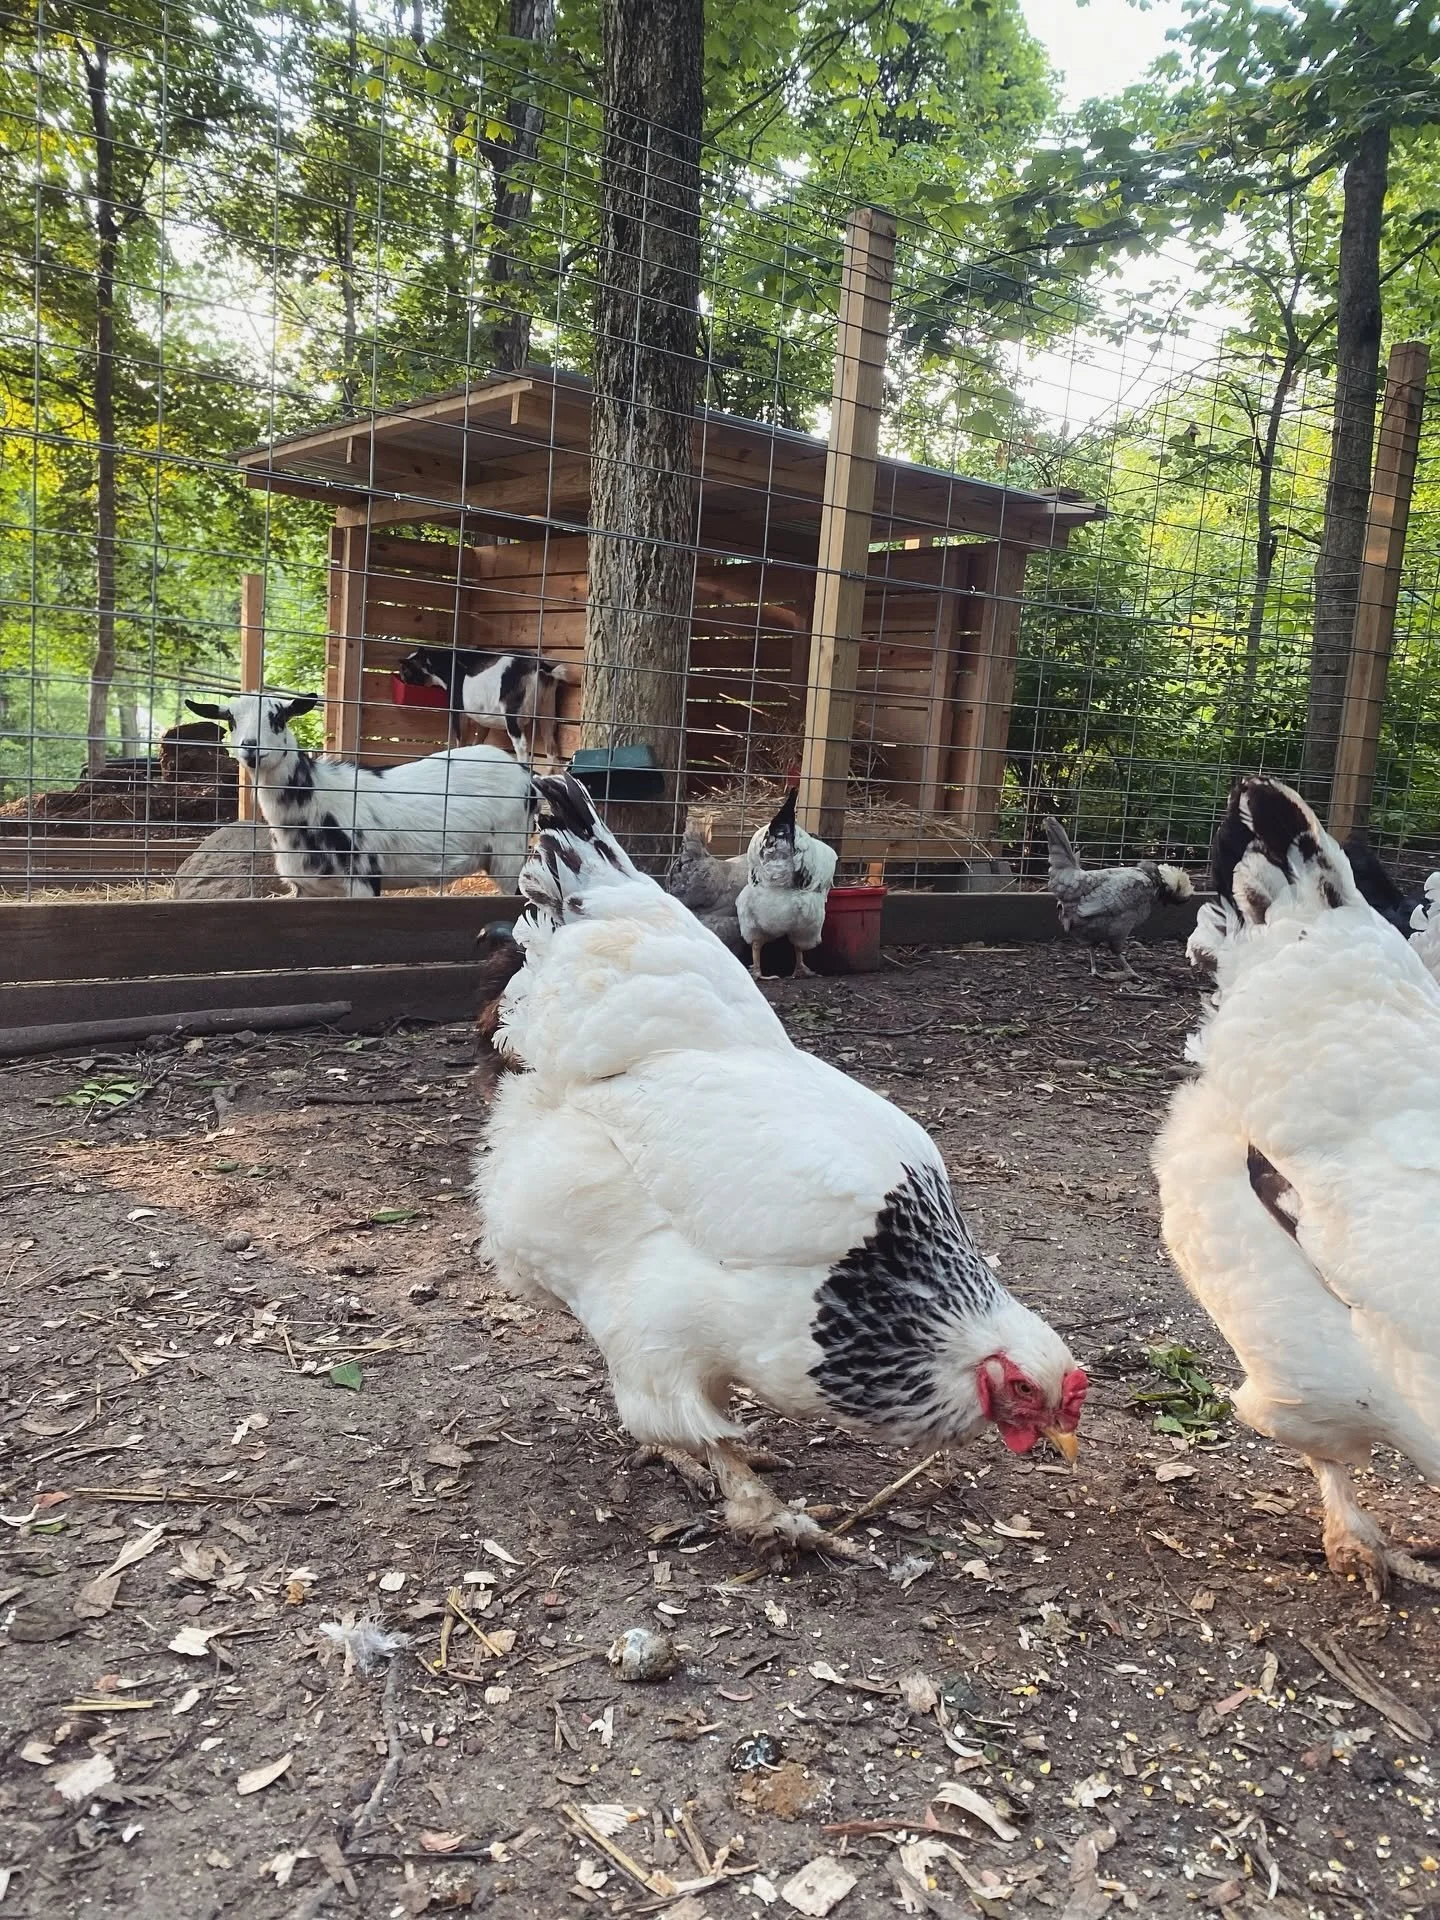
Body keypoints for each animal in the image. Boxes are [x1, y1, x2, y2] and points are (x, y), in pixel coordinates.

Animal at [185, 692, 533, 898]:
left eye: (279, 718)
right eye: (231, 720)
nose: (251, 748)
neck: (316, 801)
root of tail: (524, 774)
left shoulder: (364, 879)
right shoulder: (306, 889)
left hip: (510, 851)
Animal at [395, 647, 579, 769]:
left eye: (406, 670)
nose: (400, 677)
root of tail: (539, 666)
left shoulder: (458, 711)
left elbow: (460, 740)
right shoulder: (483, 719)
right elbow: (478, 741)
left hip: (513, 717)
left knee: (522, 746)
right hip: (548, 711)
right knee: (551, 747)